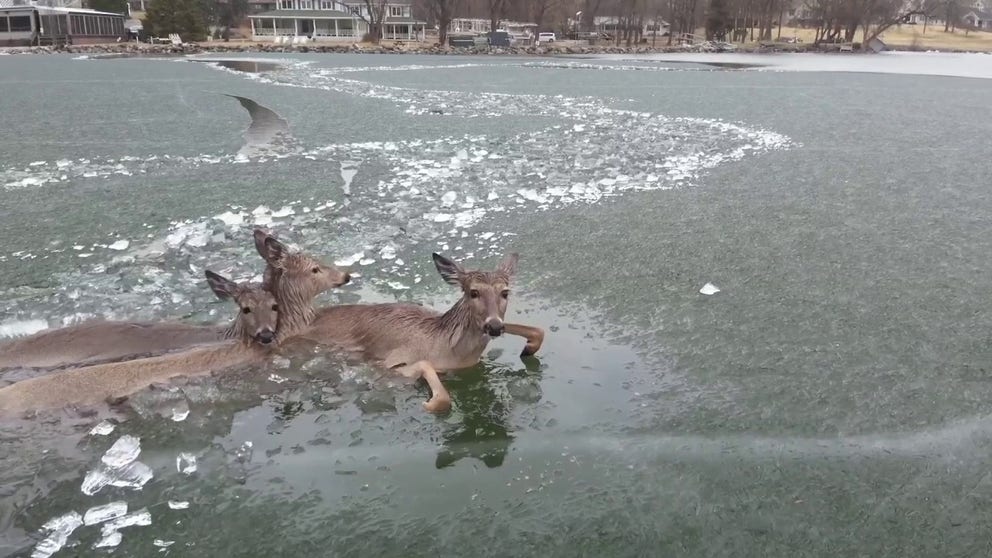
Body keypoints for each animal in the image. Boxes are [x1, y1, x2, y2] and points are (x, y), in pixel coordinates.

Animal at [290, 254, 548, 416]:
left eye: (505, 292)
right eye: (473, 292)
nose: (494, 326)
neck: (451, 350)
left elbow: (540, 329)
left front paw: (528, 348)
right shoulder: (388, 363)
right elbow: (432, 381)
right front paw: (430, 403)